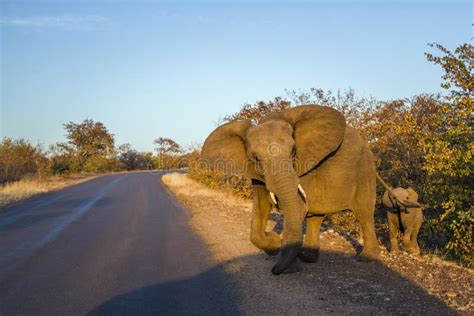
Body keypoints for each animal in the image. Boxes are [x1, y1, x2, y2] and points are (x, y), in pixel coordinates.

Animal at [202, 105, 380, 274]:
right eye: (256, 158)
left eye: (293, 151)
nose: (274, 271)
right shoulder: (256, 173)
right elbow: (261, 206)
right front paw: (274, 244)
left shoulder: (304, 167)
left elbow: (297, 207)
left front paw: (286, 265)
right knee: (315, 217)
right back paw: (306, 256)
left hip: (365, 170)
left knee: (364, 213)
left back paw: (367, 258)